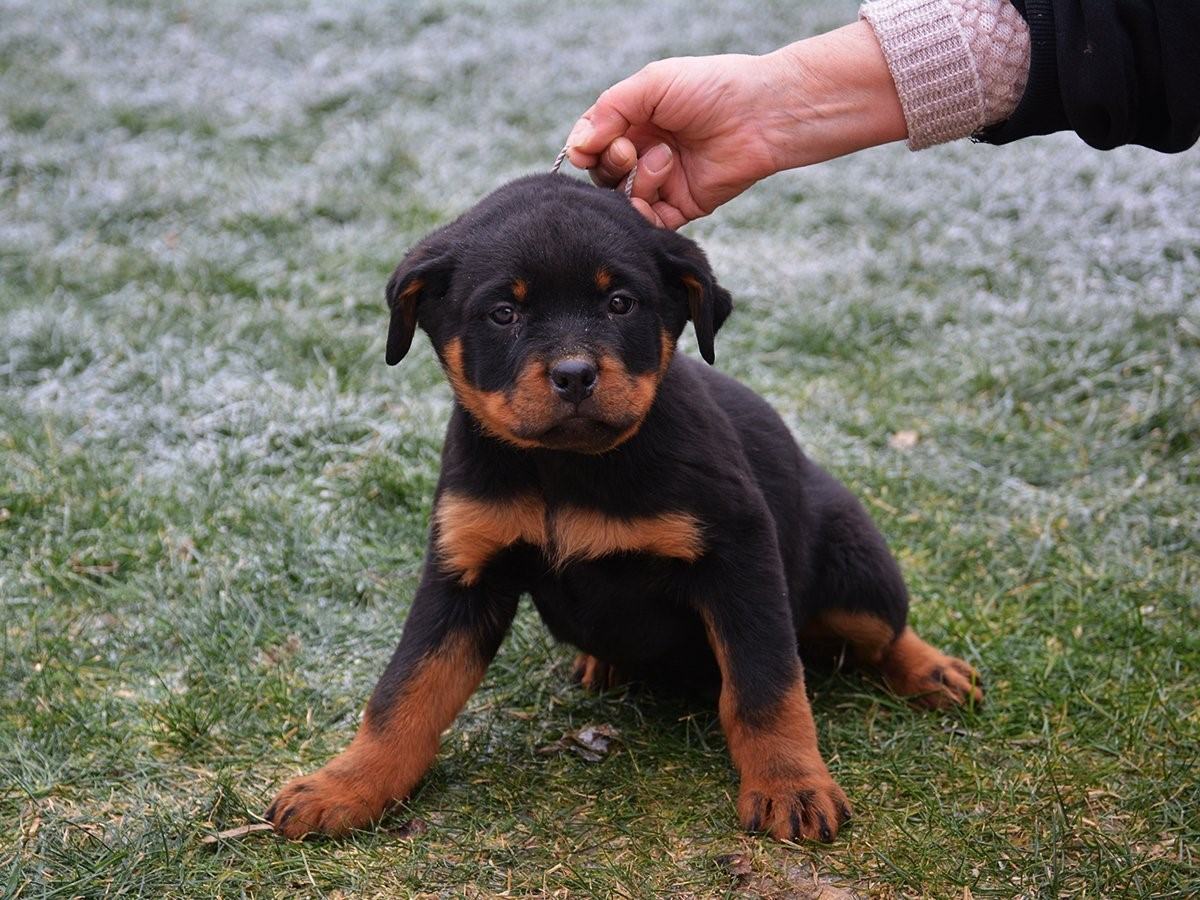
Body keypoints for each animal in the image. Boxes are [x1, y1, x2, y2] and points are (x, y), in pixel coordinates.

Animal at [265, 174, 984, 844]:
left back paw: (935, 671)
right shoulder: (464, 568)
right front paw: (345, 785)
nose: (575, 375)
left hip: (853, 570)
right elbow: (405, 691)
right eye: (503, 313)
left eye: (619, 303)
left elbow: (766, 685)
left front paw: (791, 787)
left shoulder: (740, 553)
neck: (565, 468)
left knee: (880, 632)